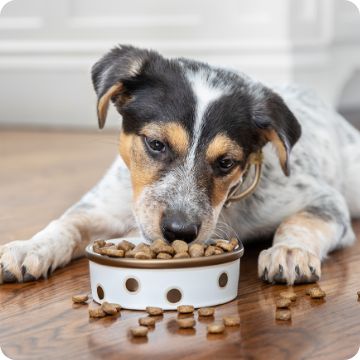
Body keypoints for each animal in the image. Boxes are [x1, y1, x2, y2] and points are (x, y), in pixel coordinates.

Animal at [0, 44, 360, 284]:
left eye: (226, 162)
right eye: (156, 144)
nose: (180, 232)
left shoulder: (324, 200)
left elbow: (301, 222)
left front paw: (289, 252)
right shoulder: (104, 205)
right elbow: (67, 223)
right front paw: (29, 248)